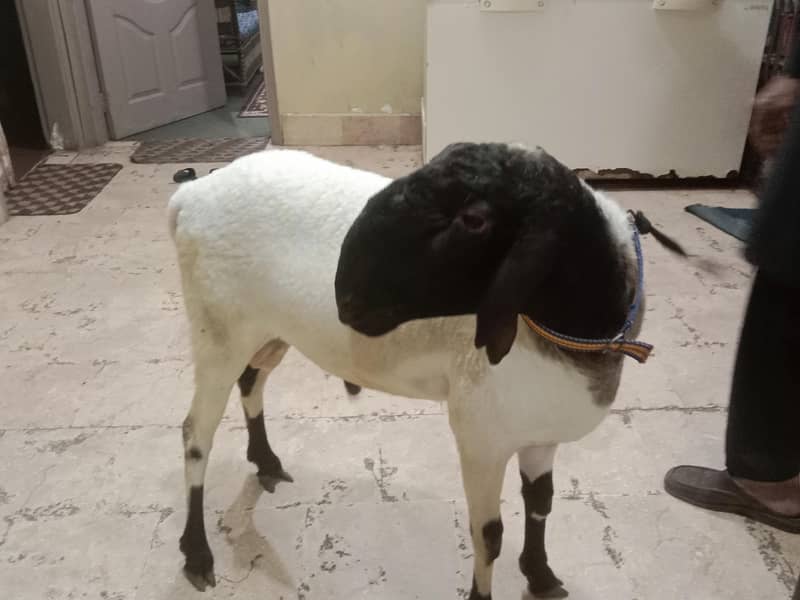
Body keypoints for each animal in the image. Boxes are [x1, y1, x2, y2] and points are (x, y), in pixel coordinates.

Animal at [169, 142, 652, 599]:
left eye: (474, 219)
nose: (346, 296)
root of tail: (190, 195)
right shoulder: (481, 436)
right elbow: (489, 535)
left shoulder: (540, 436)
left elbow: (540, 503)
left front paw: (540, 575)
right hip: (216, 332)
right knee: (195, 435)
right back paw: (196, 553)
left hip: (266, 333)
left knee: (251, 380)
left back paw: (266, 462)